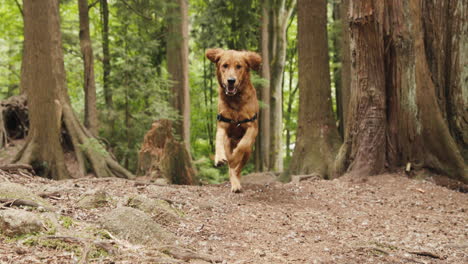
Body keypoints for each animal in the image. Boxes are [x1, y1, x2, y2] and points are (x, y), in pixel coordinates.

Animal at [206, 48, 262, 192]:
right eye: (225, 65)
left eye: (239, 66)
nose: (231, 80)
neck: (235, 99)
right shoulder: (222, 124)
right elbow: (218, 140)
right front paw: (219, 158)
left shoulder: (252, 127)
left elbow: (242, 146)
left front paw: (235, 157)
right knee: (231, 168)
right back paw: (235, 183)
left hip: (249, 152)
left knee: (238, 167)